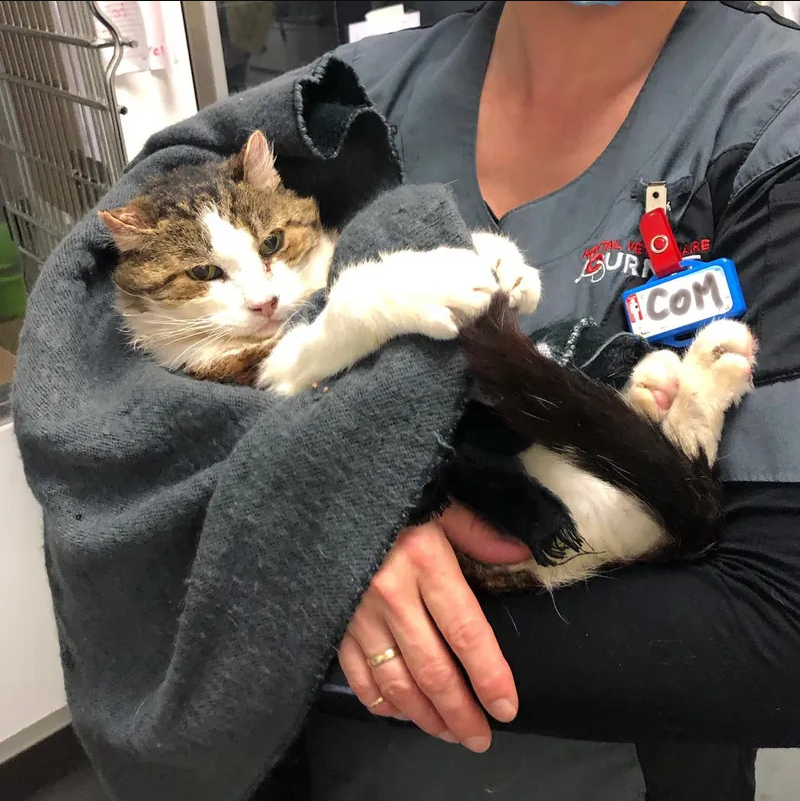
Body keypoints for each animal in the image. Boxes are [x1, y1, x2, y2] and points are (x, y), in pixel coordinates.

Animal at [100, 131, 756, 592]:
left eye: (272, 242)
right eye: (202, 273)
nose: (265, 303)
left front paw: (502, 259)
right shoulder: (261, 372)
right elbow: (342, 312)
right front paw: (422, 284)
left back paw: (683, 379)